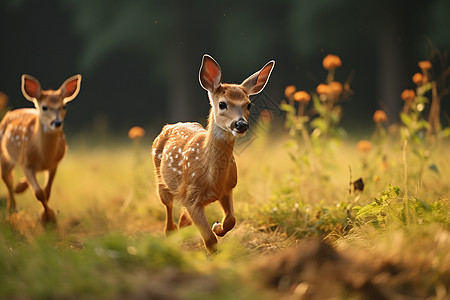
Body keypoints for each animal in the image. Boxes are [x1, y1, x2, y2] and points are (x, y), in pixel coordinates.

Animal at [0, 74, 81, 225]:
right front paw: (48, 219)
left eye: (64, 106)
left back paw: (19, 188)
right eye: (44, 107)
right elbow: (39, 193)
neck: (43, 156)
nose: (57, 122)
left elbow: (46, 192)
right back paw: (12, 209)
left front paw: (48, 218)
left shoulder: (54, 164)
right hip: (5, 156)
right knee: (7, 179)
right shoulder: (26, 163)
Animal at [153, 54, 274, 253]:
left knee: (182, 217)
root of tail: (169, 126)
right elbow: (209, 239)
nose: (241, 124)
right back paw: (171, 233)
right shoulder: (191, 195)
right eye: (222, 104)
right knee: (168, 205)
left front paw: (217, 226)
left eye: (248, 105)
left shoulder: (228, 188)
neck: (211, 179)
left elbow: (231, 220)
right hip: (160, 179)